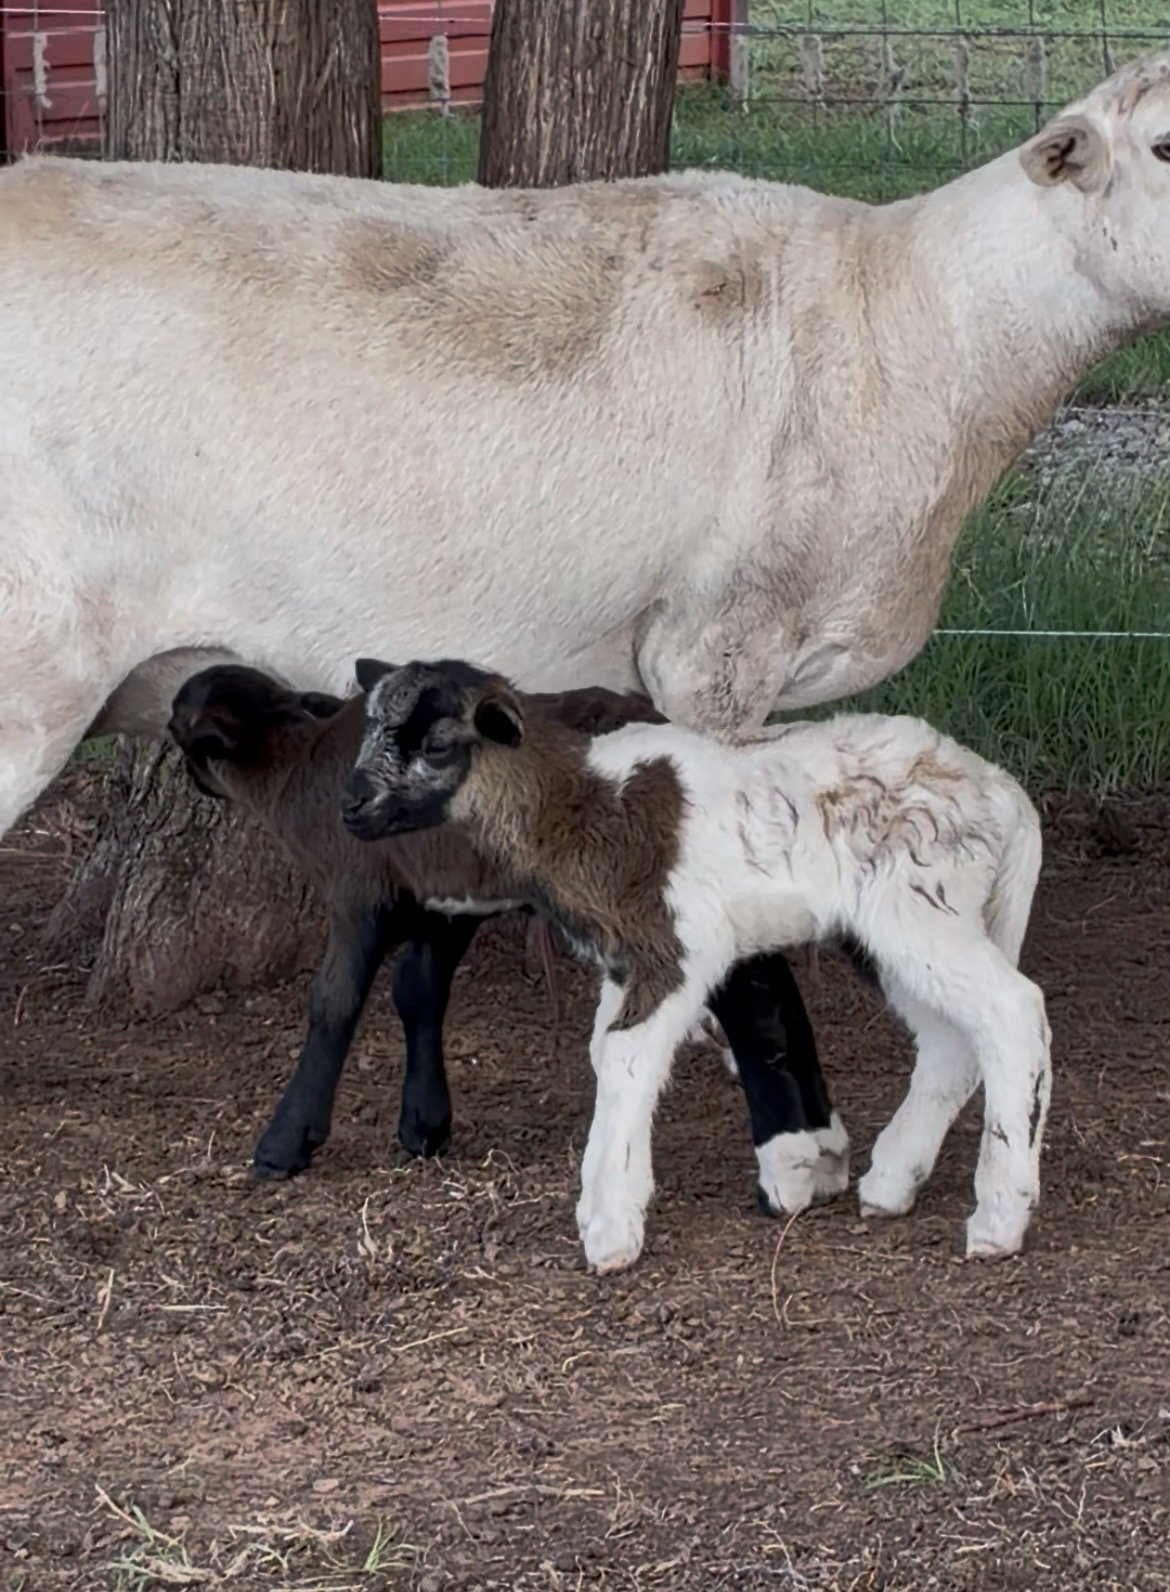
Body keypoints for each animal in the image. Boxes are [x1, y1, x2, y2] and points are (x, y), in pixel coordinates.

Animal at [167, 663, 848, 1206]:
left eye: (175, 724)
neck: (293, 770)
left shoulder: (357, 893)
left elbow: (333, 1003)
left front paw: (286, 1143)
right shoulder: (447, 905)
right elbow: (417, 992)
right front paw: (424, 1125)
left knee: (748, 994)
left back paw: (786, 1164)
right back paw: (822, 1142)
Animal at [344, 657, 1051, 1276]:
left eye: (439, 745)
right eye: (369, 727)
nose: (350, 807)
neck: (577, 806)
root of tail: (1004, 793)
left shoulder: (678, 945)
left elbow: (627, 1056)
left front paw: (611, 1229)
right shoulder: (626, 958)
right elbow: (605, 1055)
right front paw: (600, 1199)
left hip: (924, 900)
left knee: (1013, 1011)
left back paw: (999, 1219)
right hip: (890, 929)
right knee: (951, 1043)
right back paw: (892, 1183)